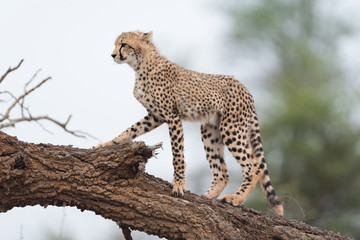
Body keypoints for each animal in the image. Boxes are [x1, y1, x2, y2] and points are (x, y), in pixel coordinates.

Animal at [97, 30, 284, 216]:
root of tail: (247, 91)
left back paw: (236, 198)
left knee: (255, 167)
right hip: (210, 130)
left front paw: (179, 184)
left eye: (124, 44)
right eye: (116, 44)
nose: (113, 55)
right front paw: (108, 144)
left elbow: (177, 153)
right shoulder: (155, 116)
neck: (140, 64)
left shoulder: (172, 116)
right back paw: (207, 196)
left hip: (231, 128)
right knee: (222, 173)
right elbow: (130, 130)